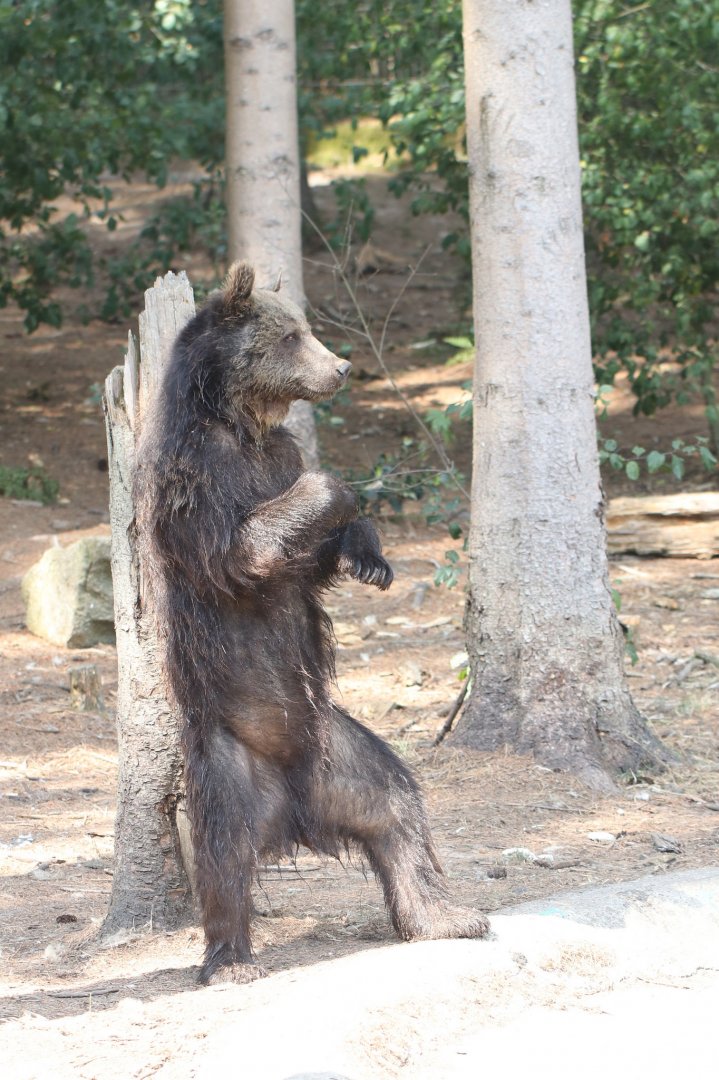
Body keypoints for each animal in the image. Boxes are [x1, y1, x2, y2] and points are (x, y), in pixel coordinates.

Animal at [134, 261, 489, 985]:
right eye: (293, 335)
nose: (343, 366)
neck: (239, 422)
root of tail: (293, 810)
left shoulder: (278, 453)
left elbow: (313, 555)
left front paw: (369, 555)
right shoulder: (197, 482)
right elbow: (243, 549)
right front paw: (342, 488)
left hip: (340, 749)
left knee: (398, 808)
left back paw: (448, 914)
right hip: (228, 760)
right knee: (222, 856)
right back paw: (228, 959)